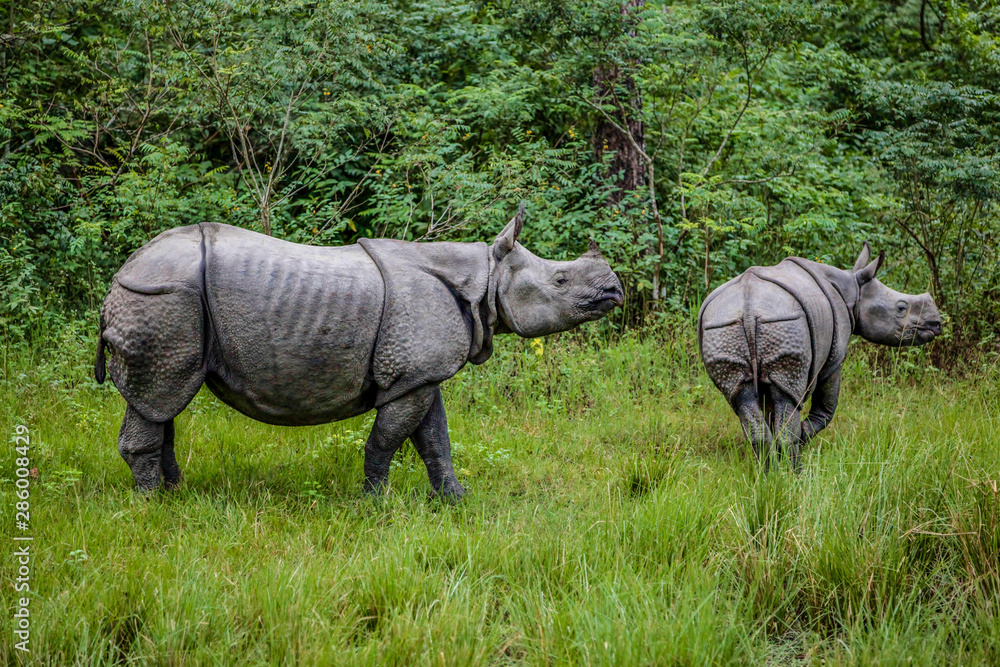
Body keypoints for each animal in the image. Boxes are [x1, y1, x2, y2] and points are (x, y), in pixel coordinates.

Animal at [95, 205, 624, 496]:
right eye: (561, 280)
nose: (615, 290)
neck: (486, 278)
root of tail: (122, 273)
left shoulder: (420, 373)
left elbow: (436, 440)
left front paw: (456, 500)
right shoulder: (409, 374)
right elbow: (387, 440)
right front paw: (375, 504)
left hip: (165, 299)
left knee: (162, 403)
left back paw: (175, 493)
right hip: (162, 297)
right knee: (160, 395)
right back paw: (153, 507)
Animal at [698, 243, 942, 470]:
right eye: (901, 307)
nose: (937, 323)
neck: (854, 290)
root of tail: (748, 310)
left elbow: (768, 413)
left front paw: (779, 458)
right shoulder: (834, 358)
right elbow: (825, 409)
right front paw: (802, 436)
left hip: (723, 328)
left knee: (743, 399)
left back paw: (767, 477)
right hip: (785, 322)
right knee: (788, 400)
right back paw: (795, 476)